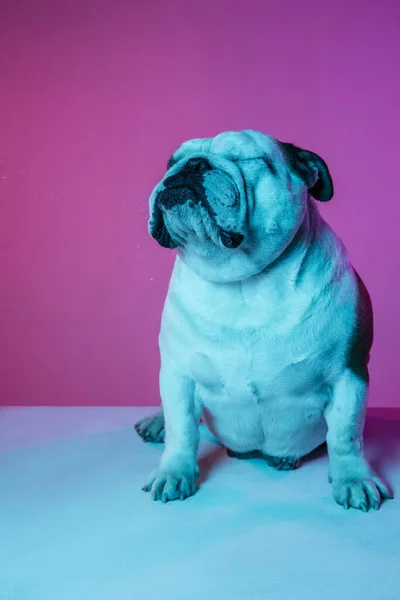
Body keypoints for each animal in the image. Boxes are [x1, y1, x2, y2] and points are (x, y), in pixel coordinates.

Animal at [136, 127, 392, 510]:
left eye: (246, 159)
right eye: (172, 162)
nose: (191, 165)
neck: (244, 282)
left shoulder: (349, 375)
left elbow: (346, 435)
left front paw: (353, 478)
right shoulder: (178, 374)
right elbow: (182, 430)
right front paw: (174, 472)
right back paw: (157, 422)